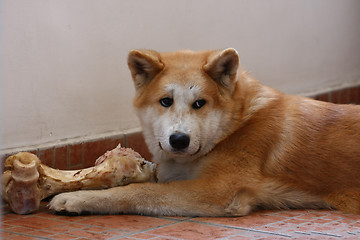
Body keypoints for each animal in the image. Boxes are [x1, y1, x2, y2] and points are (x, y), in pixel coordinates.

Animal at [49, 48, 360, 216]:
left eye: (200, 103)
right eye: (165, 101)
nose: (178, 140)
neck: (237, 125)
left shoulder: (217, 191)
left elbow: (139, 191)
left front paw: (78, 199)